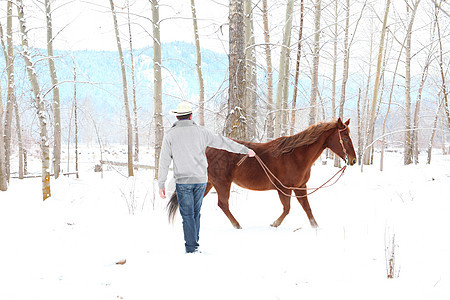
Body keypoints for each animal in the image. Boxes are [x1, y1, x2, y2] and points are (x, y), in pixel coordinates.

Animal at [167, 117, 356, 227]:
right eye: (345, 138)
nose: (353, 160)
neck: (295, 156)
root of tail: (206, 149)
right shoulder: (284, 188)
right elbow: (287, 209)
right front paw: (275, 223)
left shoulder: (300, 187)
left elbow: (308, 210)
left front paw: (316, 228)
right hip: (221, 183)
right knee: (223, 204)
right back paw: (237, 225)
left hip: (208, 183)